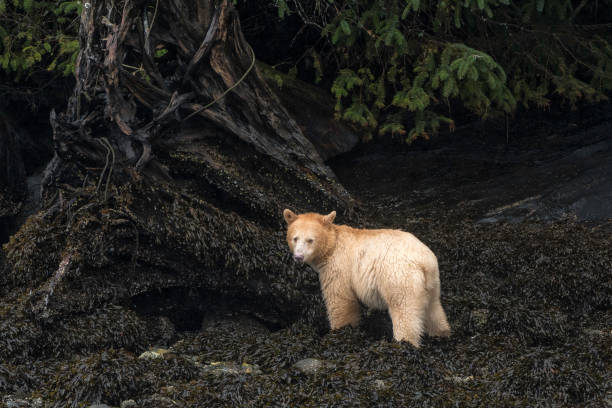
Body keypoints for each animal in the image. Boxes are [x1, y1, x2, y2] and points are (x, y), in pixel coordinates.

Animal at [282, 210, 450, 348]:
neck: (332, 245)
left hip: (399, 277)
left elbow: (340, 300)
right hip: (431, 283)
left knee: (404, 310)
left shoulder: (339, 267)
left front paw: (339, 331)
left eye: (310, 240)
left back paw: (404, 343)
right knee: (433, 309)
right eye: (295, 238)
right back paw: (441, 333)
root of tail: (424, 262)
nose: (298, 257)